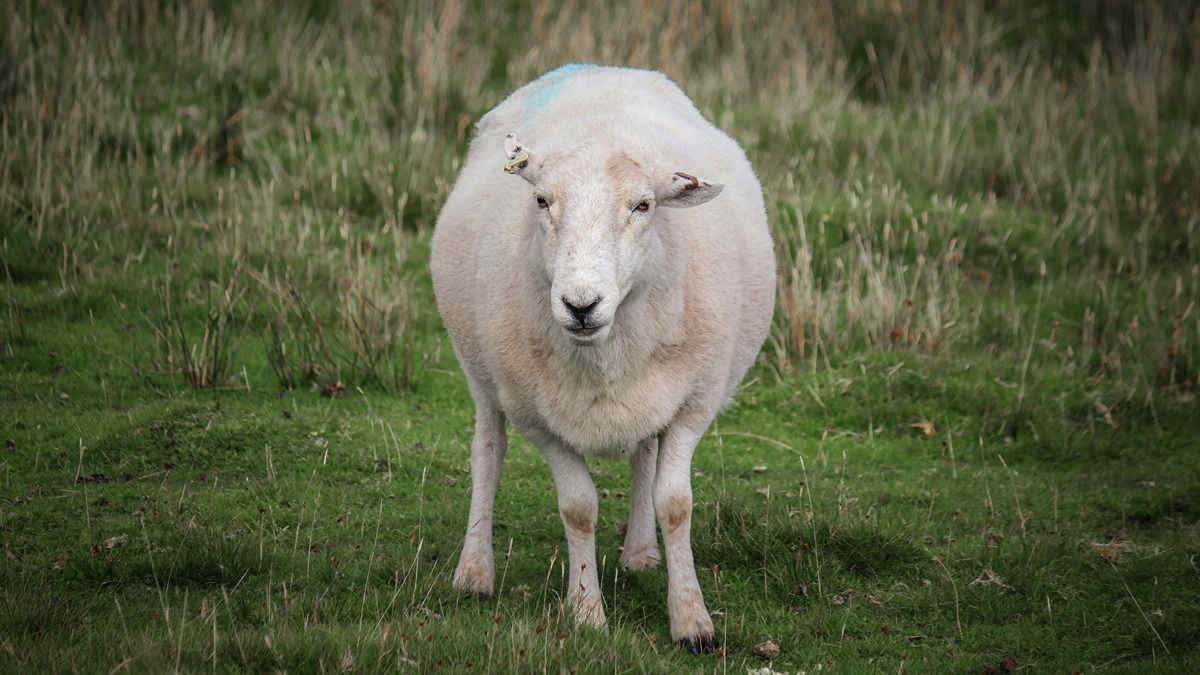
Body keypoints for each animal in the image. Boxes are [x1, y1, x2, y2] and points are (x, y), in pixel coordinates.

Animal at [432, 64, 777, 653]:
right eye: (541, 201)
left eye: (643, 206)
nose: (580, 304)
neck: (602, 351)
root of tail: (603, 68)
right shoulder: (536, 416)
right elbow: (579, 508)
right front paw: (587, 612)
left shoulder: (694, 402)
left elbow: (675, 503)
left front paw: (692, 622)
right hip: (482, 370)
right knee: (488, 452)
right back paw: (474, 571)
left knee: (643, 457)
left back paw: (640, 553)